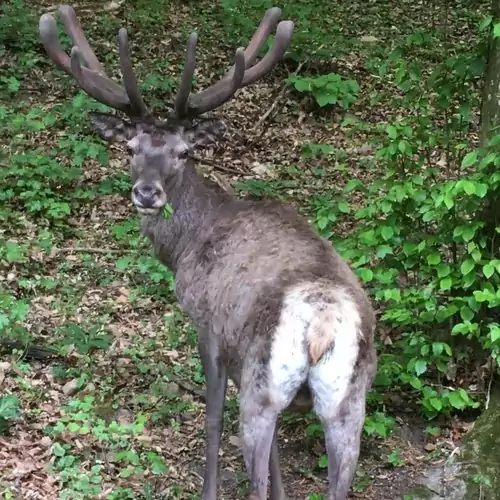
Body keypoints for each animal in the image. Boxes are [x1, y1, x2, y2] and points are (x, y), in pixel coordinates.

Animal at [38, 4, 376, 500]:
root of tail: (322, 325)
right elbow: (278, 450)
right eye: (130, 147)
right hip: (347, 402)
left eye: (183, 152)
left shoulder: (209, 326)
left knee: (250, 457)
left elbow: (212, 419)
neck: (185, 247)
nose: (146, 193)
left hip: (265, 387)